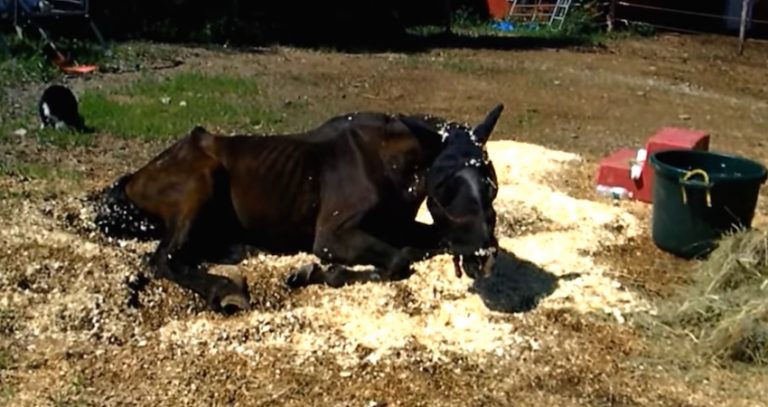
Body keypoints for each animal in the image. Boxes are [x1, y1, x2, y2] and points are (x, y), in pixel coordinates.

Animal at [93, 104, 504, 314]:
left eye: (492, 183)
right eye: (443, 187)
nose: (483, 259)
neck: (384, 163)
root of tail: (136, 178)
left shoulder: (400, 226)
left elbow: (419, 247)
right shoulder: (332, 236)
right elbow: (398, 261)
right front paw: (314, 272)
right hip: (199, 183)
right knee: (163, 258)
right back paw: (225, 290)